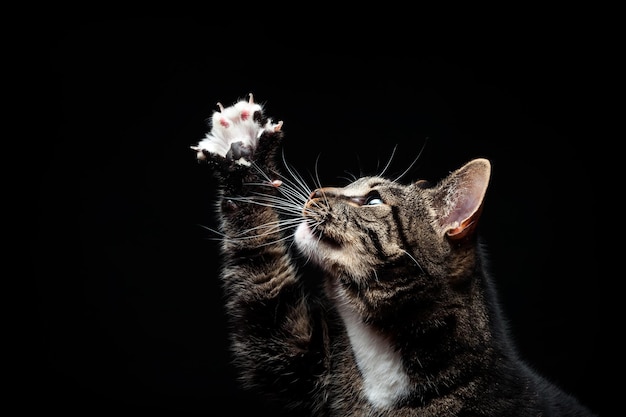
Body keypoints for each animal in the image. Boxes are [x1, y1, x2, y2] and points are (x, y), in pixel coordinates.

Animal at [190, 92, 596, 414]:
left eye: (372, 200)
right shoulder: (296, 355)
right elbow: (262, 288)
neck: (381, 356)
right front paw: (242, 151)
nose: (315, 193)